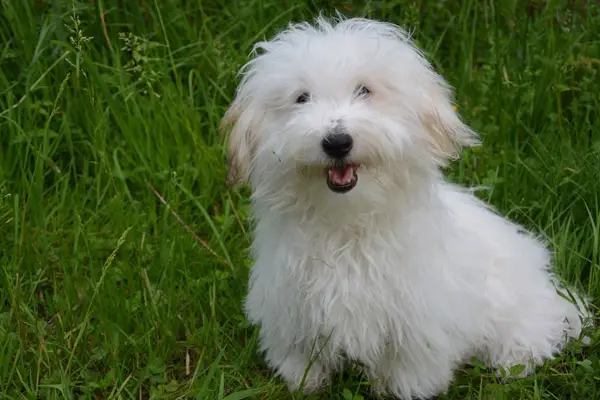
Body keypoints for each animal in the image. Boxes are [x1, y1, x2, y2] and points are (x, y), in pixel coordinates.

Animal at [220, 14, 592, 398]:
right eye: (301, 98)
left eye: (365, 90)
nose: (337, 142)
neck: (347, 223)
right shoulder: (290, 304)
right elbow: (299, 352)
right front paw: (304, 379)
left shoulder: (418, 318)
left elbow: (409, 365)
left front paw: (402, 388)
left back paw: (515, 359)